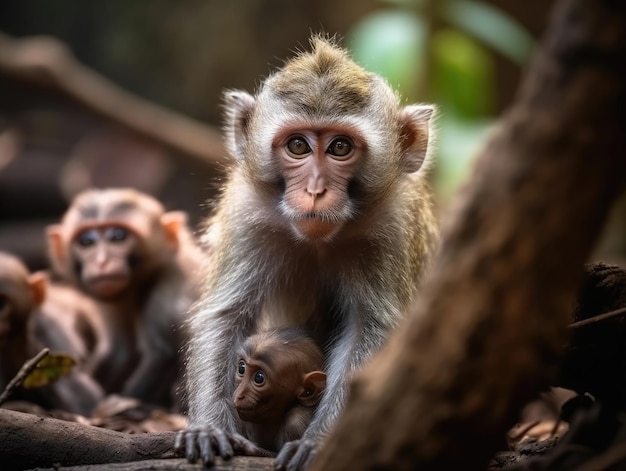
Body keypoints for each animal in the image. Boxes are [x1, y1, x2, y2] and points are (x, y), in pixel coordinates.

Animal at [49, 188, 205, 410]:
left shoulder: (170, 283)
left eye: (118, 236)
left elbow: (162, 354)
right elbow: (120, 352)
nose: (102, 261)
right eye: (86, 241)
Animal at [176, 35, 438, 470]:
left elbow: (371, 329)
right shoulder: (247, 213)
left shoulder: (392, 228)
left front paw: (318, 442)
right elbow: (226, 315)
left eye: (340, 147)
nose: (315, 190)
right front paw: (209, 428)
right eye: (298, 145)